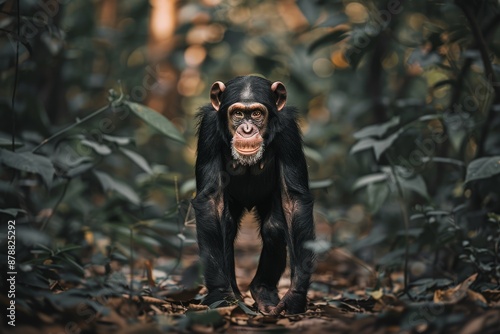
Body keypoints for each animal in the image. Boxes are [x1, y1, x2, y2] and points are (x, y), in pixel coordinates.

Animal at [193, 75, 314, 316]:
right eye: (238, 114)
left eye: (257, 113)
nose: (247, 129)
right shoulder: (208, 130)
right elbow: (211, 201)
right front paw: (221, 295)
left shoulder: (288, 130)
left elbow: (294, 200)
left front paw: (295, 296)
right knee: (227, 226)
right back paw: (235, 295)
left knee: (274, 228)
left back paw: (263, 292)